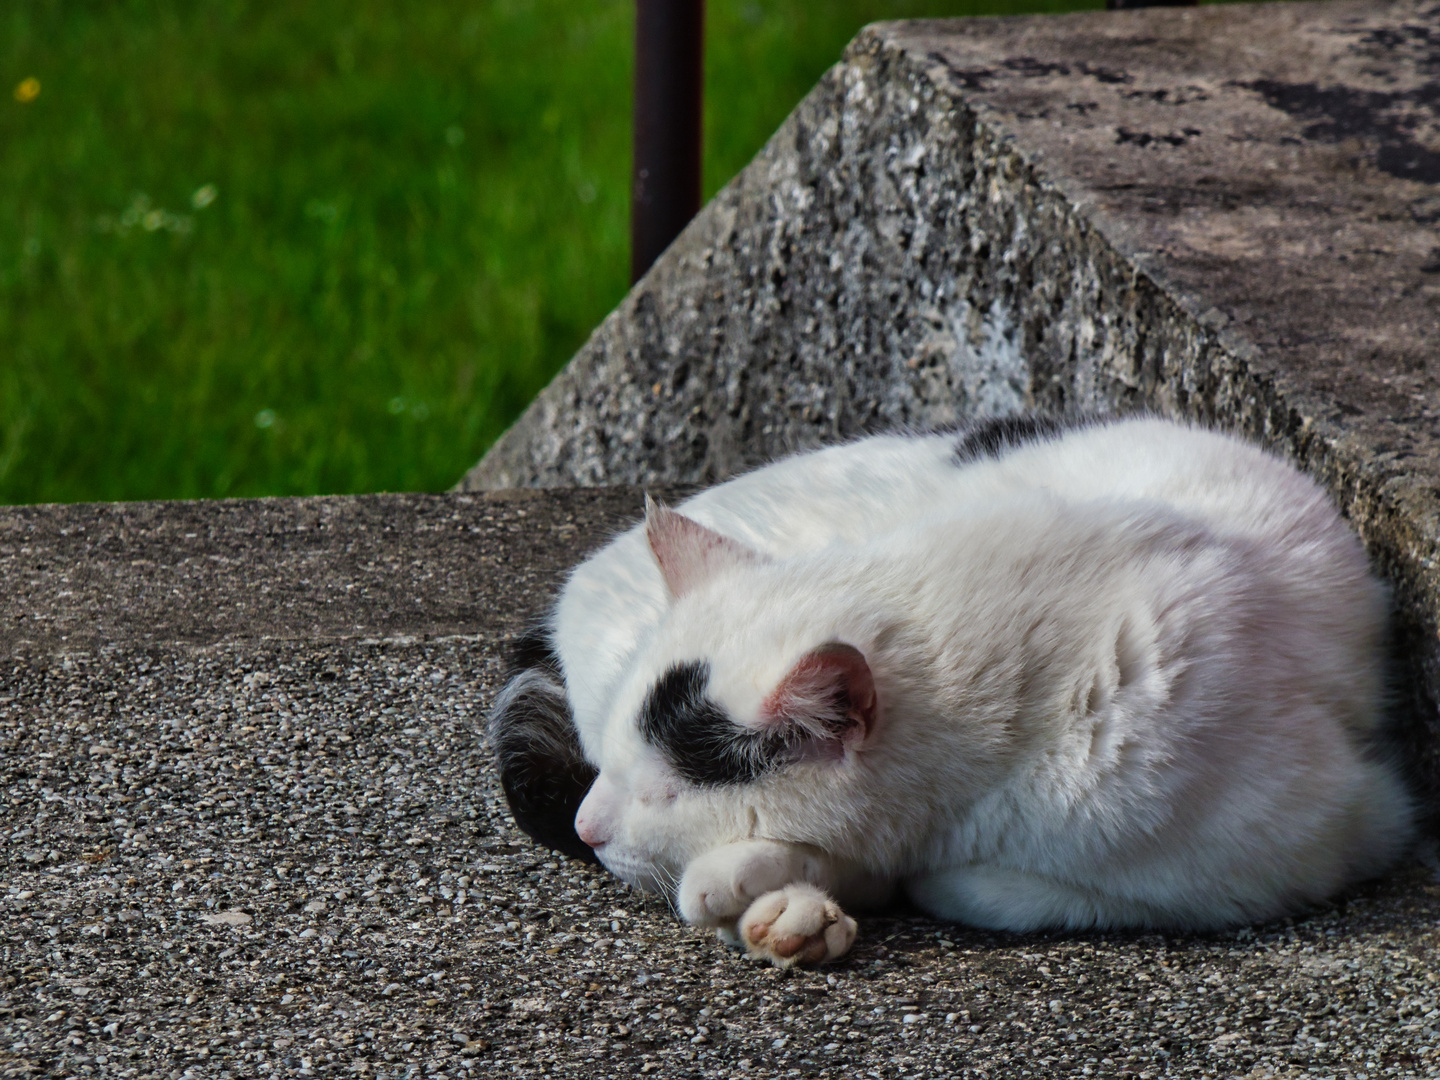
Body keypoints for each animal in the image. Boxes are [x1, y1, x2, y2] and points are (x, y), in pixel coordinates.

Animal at [489, 417, 1411, 967]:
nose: (589, 827)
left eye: (664, 792)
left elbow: (1009, 891)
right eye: (608, 764)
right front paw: (780, 879)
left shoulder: (1319, 838)